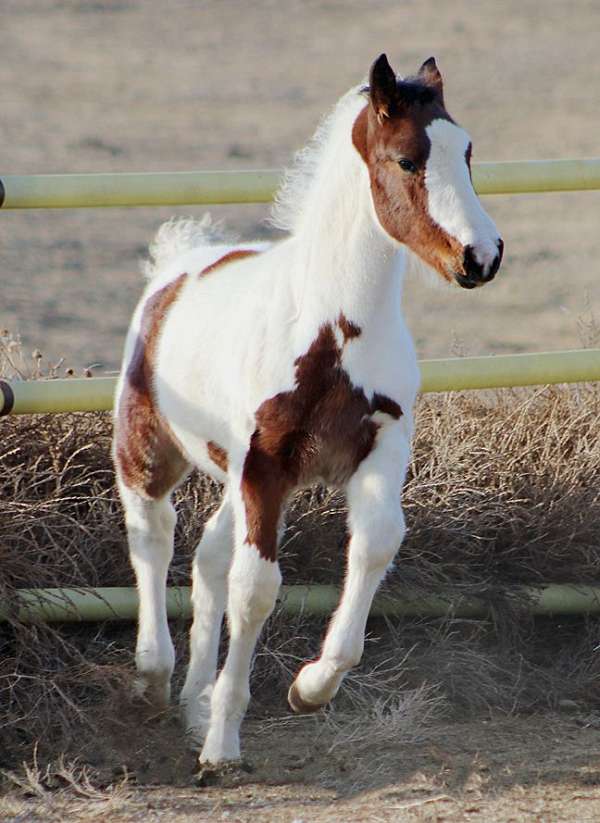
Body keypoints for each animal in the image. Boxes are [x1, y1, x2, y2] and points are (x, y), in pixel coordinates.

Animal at [112, 56, 502, 768]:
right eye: (407, 159)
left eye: (466, 152)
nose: (481, 257)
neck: (331, 327)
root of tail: (176, 265)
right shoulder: (266, 467)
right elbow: (256, 589)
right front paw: (223, 746)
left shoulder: (380, 447)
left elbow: (375, 545)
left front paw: (310, 687)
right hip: (149, 451)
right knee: (153, 536)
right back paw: (155, 676)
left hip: (231, 474)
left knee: (207, 558)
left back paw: (192, 701)